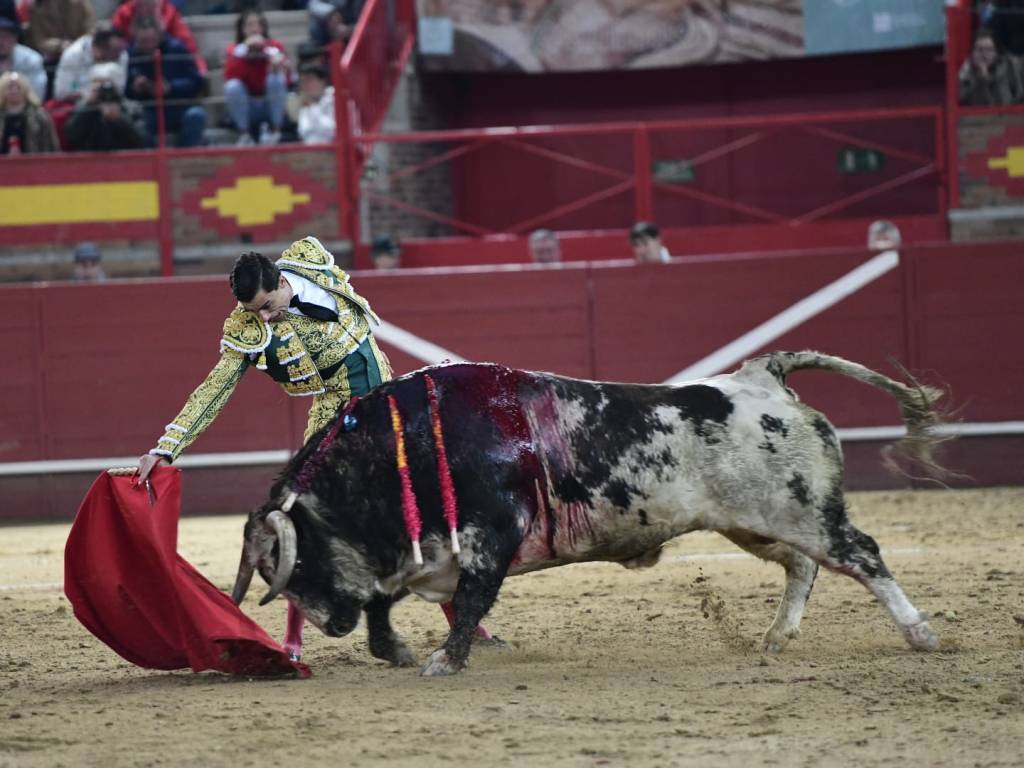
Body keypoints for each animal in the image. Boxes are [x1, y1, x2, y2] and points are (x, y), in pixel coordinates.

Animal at [231, 350, 948, 676]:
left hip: (803, 511)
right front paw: (397, 649)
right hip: (753, 521)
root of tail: (761, 378)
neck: (401, 453)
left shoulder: (489, 539)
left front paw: (444, 660)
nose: (326, 625)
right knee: (805, 565)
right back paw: (775, 637)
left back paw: (920, 635)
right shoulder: (425, 549)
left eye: (298, 564)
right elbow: (388, 598)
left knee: (861, 554)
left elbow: (468, 601)